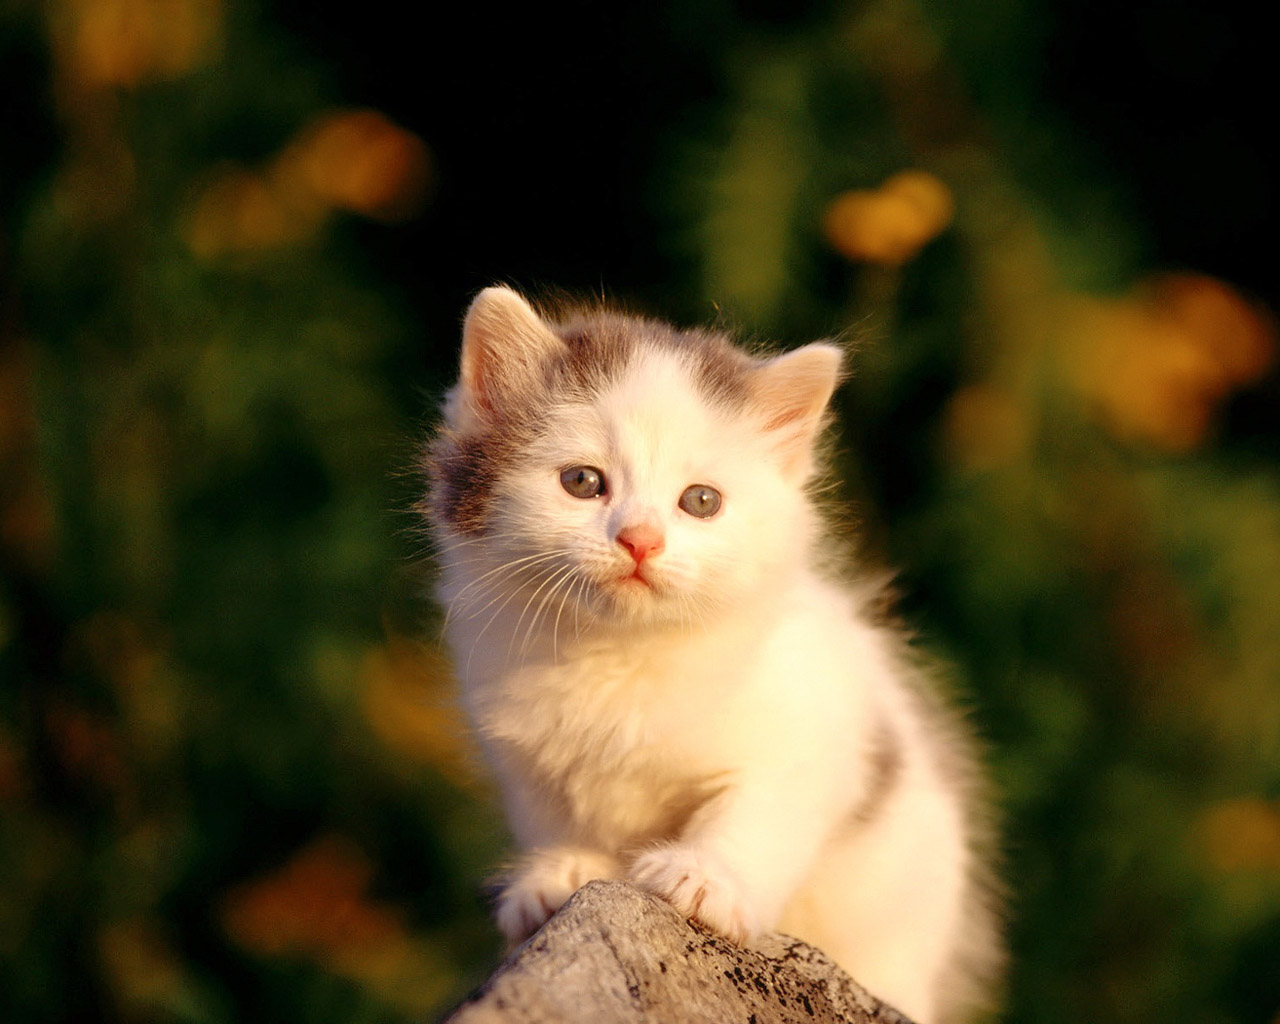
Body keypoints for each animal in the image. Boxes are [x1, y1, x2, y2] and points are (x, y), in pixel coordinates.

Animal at [424, 285, 1003, 1024]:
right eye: (582, 482)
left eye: (701, 502)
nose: (640, 540)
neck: (621, 655)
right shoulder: (525, 754)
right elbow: (554, 813)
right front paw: (559, 873)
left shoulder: (814, 735)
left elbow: (756, 813)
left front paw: (703, 879)